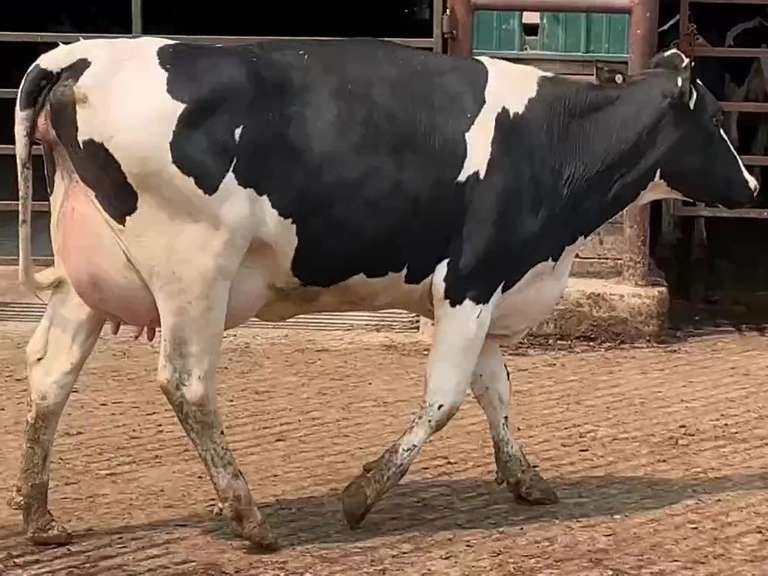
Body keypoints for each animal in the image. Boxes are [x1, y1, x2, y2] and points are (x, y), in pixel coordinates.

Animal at [7, 37, 758, 551]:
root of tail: (82, 55)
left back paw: (40, 515)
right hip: (194, 269)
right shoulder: (471, 279)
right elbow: (447, 398)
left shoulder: (489, 286)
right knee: (186, 384)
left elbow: (495, 391)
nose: (752, 186)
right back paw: (248, 515)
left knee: (50, 373)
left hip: (90, 278)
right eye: (716, 121)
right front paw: (360, 494)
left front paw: (525, 477)